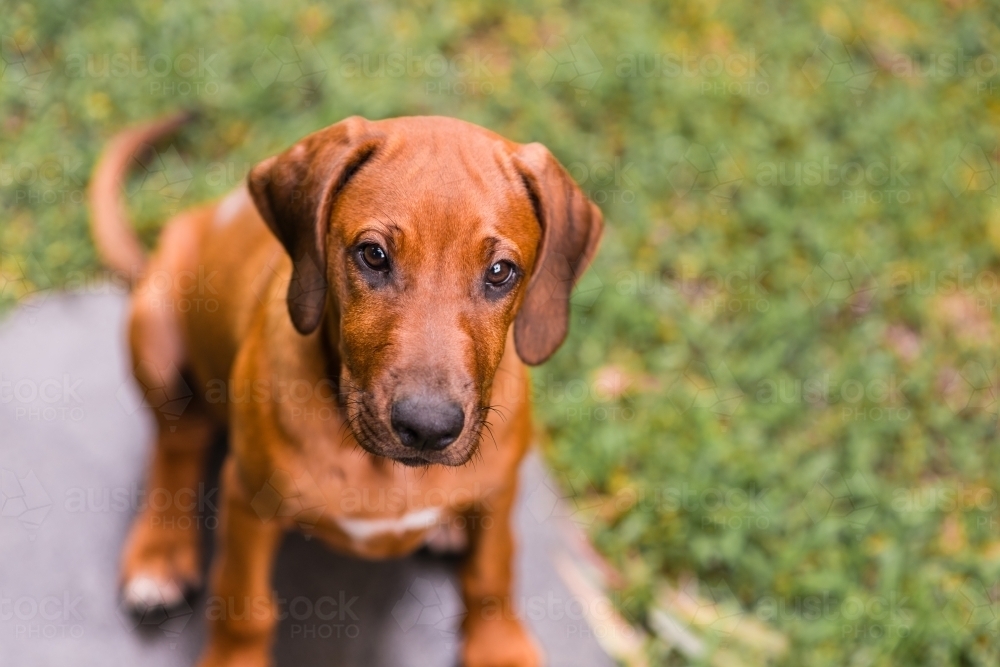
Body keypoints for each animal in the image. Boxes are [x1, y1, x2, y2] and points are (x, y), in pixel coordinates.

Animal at [90, 115, 600, 667]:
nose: (428, 429)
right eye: (373, 255)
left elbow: (493, 569)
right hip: (154, 327)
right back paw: (158, 553)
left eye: (501, 271)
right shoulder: (248, 499)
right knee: (177, 441)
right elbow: (244, 605)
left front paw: (498, 647)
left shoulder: (500, 489)